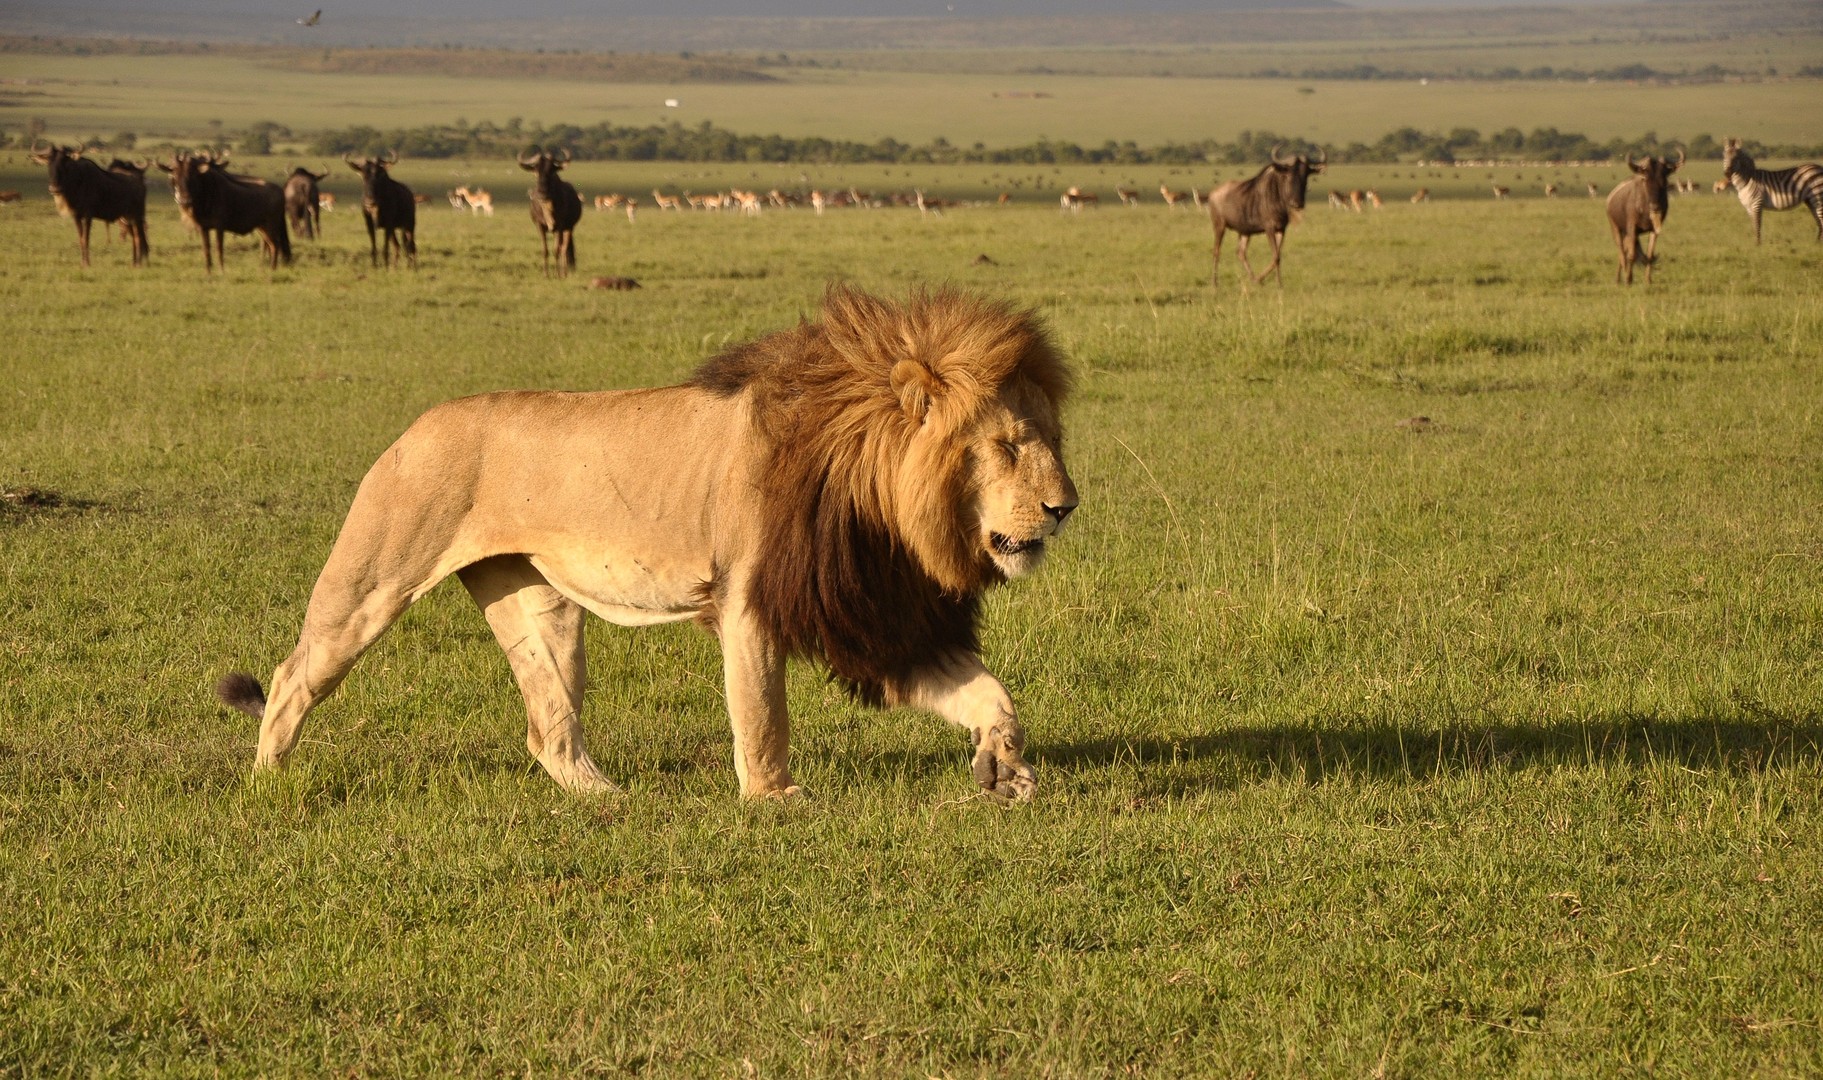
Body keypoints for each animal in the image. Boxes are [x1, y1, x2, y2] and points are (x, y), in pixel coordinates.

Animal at [158, 148, 288, 270]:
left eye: (192, 175)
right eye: (175, 175)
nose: (184, 200)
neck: (206, 195)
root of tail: (280, 190)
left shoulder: (219, 227)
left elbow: (219, 248)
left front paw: (221, 270)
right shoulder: (203, 227)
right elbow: (206, 249)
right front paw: (208, 271)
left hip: (271, 226)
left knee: (275, 245)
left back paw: (272, 269)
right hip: (262, 228)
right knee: (270, 245)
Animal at [218, 286, 1071, 802]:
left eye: (1050, 439)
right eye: (1004, 446)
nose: (1063, 508)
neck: (880, 505)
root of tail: (416, 423)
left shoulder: (880, 619)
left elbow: (990, 695)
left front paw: (1003, 765)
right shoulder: (749, 600)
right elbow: (761, 712)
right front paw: (774, 800)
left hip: (535, 604)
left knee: (548, 723)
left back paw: (605, 801)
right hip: (376, 575)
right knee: (293, 675)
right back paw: (268, 781)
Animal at [517, 145, 579, 275]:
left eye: (551, 170)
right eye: (535, 170)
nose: (542, 193)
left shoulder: (559, 227)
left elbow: (556, 250)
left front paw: (557, 273)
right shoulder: (540, 226)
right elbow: (545, 250)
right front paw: (546, 273)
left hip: (569, 228)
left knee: (564, 249)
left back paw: (564, 272)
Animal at [1210, 147, 1327, 293]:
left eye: (1305, 175)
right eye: (1287, 175)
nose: (1297, 204)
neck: (1278, 197)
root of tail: (1212, 194)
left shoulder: (1281, 229)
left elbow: (1276, 256)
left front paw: (1266, 280)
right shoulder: (1269, 228)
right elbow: (1276, 256)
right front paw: (1276, 283)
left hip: (1245, 232)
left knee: (1241, 253)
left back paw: (1254, 279)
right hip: (1219, 226)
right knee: (1216, 251)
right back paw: (1215, 283)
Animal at [1604, 151, 1684, 288]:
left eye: (1664, 181)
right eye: (1645, 179)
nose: (1655, 207)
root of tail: (1610, 198)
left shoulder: (1654, 231)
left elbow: (1649, 254)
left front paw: (1648, 280)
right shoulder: (1632, 228)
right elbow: (1631, 255)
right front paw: (1628, 280)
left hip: (1627, 234)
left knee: (1624, 251)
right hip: (1616, 228)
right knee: (1621, 252)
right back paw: (1619, 279)